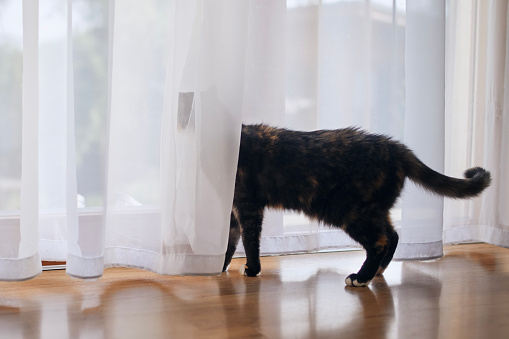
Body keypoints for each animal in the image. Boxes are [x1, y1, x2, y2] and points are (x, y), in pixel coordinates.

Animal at [221, 123, 488, 288]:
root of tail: (395, 147)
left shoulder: (248, 205)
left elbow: (250, 240)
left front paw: (252, 269)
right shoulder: (231, 212)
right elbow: (229, 242)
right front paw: (219, 266)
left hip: (349, 211)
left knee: (379, 241)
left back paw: (361, 277)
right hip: (373, 210)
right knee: (392, 235)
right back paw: (377, 271)